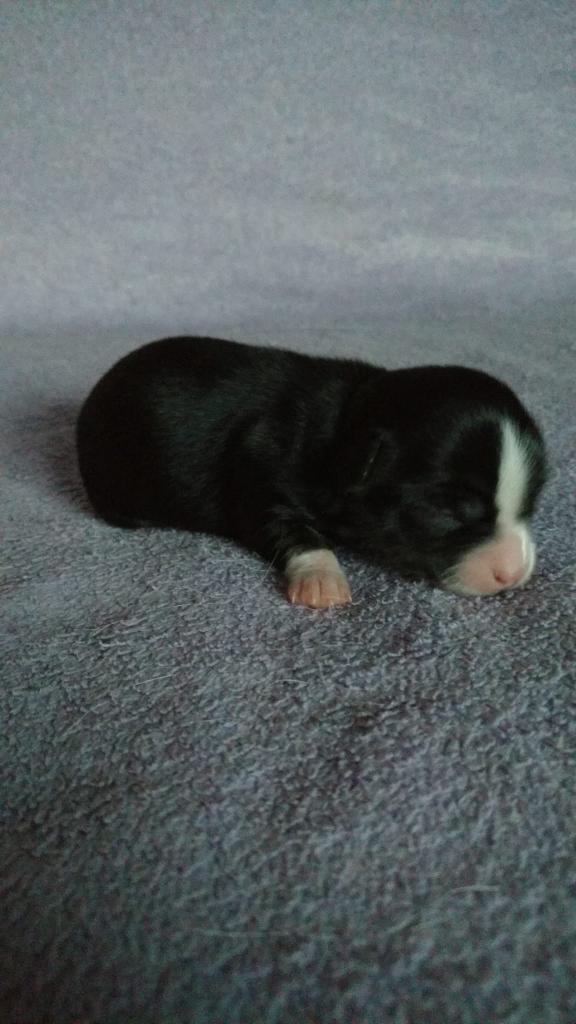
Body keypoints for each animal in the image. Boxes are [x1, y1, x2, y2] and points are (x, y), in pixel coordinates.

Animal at [76, 336, 547, 608]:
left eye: (531, 504)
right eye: (448, 514)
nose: (513, 574)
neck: (345, 427)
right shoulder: (262, 474)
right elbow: (292, 528)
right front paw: (322, 579)